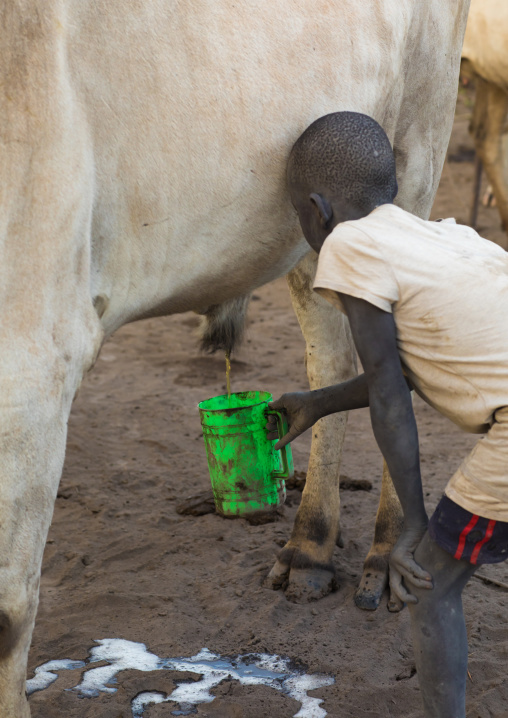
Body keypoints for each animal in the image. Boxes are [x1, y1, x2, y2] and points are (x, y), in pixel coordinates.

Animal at [1, 1, 470, 715]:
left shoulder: (34, 361)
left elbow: (10, 613)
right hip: (310, 231)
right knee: (334, 356)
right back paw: (309, 549)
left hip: (420, 144)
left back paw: (389, 547)